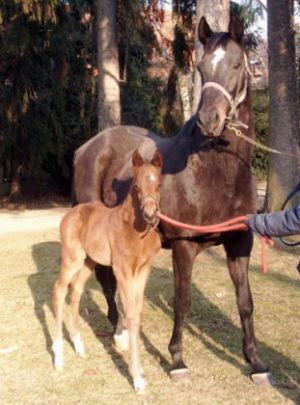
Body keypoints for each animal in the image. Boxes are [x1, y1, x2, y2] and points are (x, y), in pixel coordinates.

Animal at [52, 149, 163, 392]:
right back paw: (58, 356)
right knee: (59, 290)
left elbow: (138, 313)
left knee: (76, 291)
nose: (150, 214)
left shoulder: (143, 270)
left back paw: (78, 346)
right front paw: (137, 378)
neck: (135, 229)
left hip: (89, 262)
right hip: (72, 259)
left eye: (159, 184)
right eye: (137, 186)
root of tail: (71, 213)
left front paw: (140, 372)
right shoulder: (123, 270)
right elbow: (130, 315)